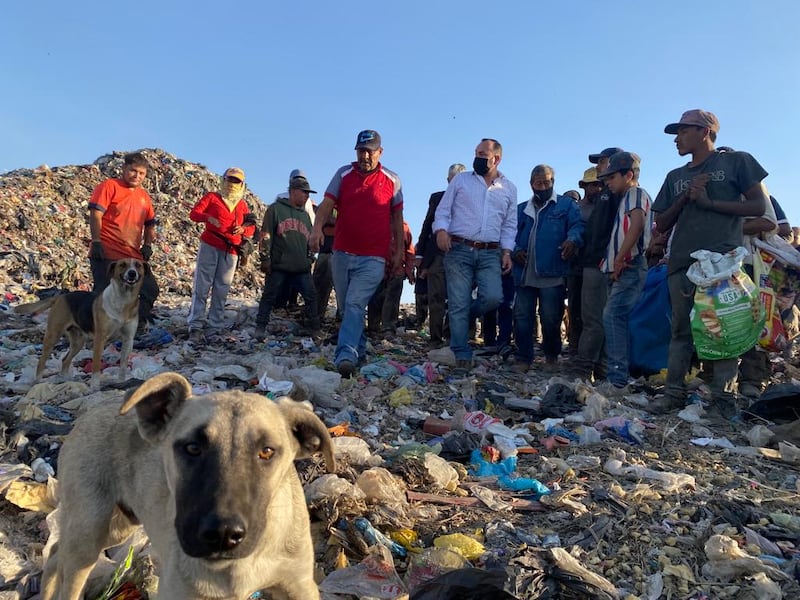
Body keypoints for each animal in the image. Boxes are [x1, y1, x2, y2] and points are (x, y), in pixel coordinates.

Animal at [15, 260, 144, 386]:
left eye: (138, 265)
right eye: (122, 265)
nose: (132, 273)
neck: (124, 300)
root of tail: (60, 297)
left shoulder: (128, 340)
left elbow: (123, 366)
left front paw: (121, 382)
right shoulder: (100, 339)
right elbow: (96, 366)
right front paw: (94, 387)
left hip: (78, 342)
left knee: (65, 360)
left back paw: (65, 380)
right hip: (53, 335)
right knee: (42, 361)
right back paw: (37, 381)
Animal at [41, 372, 334, 596]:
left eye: (267, 451)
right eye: (193, 448)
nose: (222, 534)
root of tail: (92, 410)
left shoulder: (299, 586)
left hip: (119, 524)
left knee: (55, 553)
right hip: (90, 528)